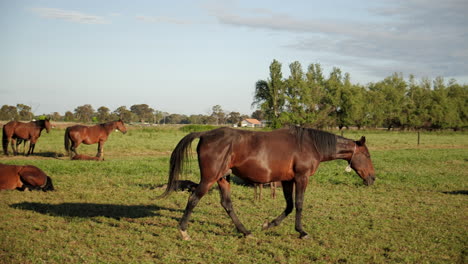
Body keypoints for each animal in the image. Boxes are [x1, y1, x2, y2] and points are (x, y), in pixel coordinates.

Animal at [161, 127, 376, 240]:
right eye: (367, 155)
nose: (372, 178)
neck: (311, 145)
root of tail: (205, 134)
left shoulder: (288, 180)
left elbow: (289, 206)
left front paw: (268, 225)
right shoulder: (301, 177)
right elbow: (299, 205)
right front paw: (302, 232)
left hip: (223, 178)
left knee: (226, 204)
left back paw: (246, 231)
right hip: (209, 178)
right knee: (193, 199)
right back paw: (183, 231)